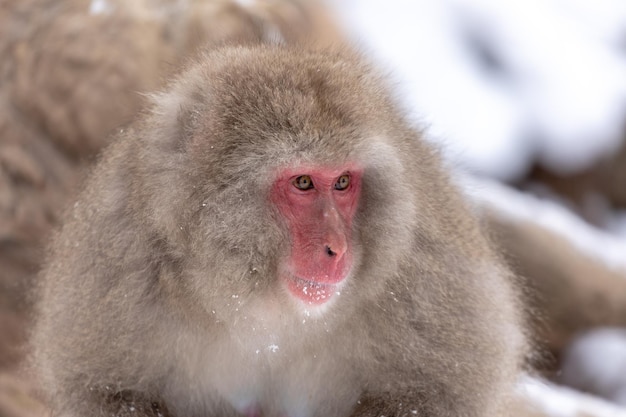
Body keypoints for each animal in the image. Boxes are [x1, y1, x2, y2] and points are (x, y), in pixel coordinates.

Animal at [30, 45, 528, 416]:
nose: (338, 248)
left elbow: (433, 397)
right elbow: (109, 393)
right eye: (303, 182)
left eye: (342, 182)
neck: (257, 306)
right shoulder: (119, 260)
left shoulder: (427, 270)